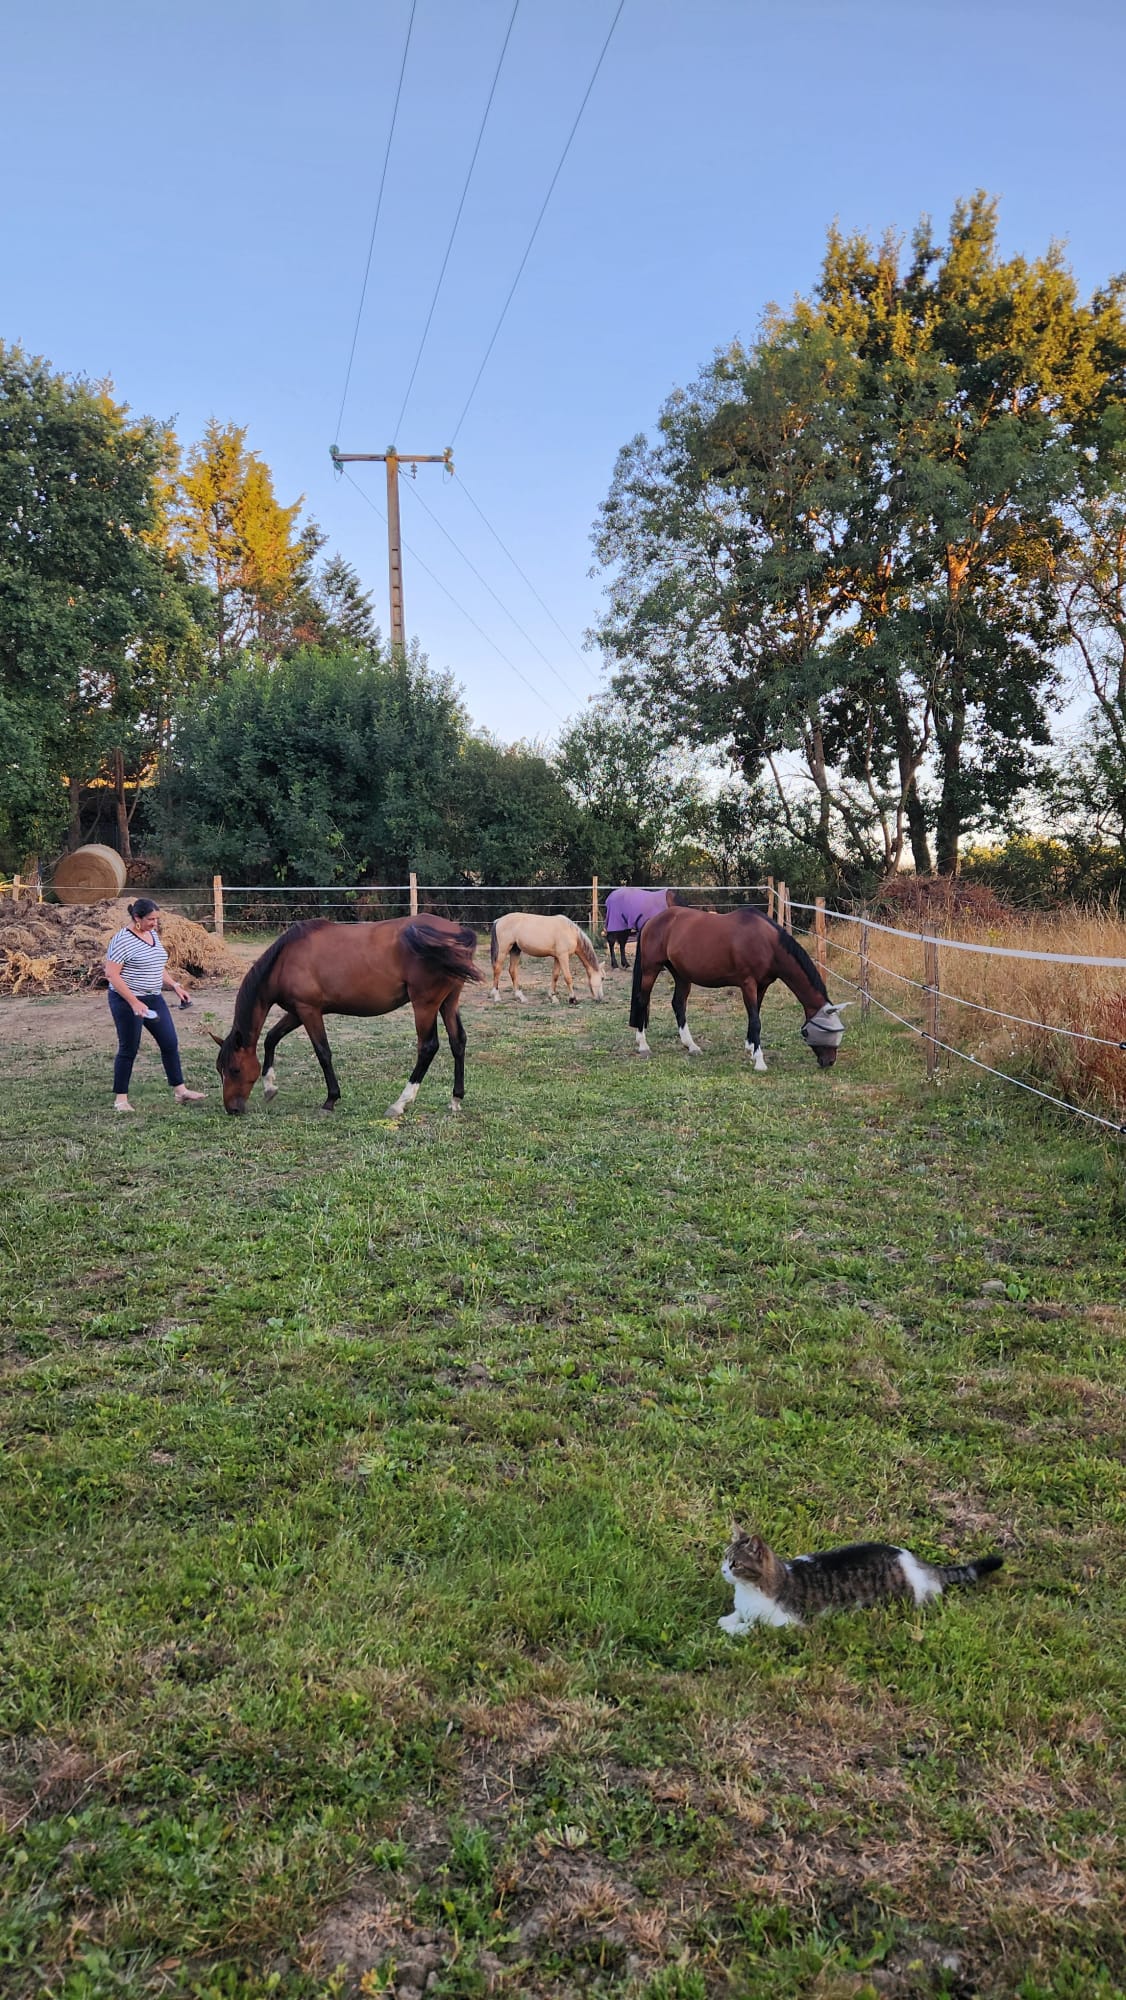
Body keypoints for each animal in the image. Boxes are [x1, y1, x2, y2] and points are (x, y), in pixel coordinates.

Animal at [211, 916, 482, 1117]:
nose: (232, 1109)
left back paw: (400, 1103)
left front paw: (330, 1100)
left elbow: (323, 1053)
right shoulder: (297, 1012)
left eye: (234, 1069)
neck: (285, 960)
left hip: (425, 1004)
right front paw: (269, 1087)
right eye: (220, 1069)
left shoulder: (309, 1011)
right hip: (448, 1002)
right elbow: (271, 1038)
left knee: (428, 1047)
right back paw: (455, 1099)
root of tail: (457, 932)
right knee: (458, 1042)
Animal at [629, 904, 847, 1068]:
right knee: (643, 1000)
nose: (829, 1062)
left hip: (682, 975)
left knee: (678, 1004)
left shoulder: (762, 985)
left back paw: (691, 1046)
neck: (767, 943)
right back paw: (643, 1045)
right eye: (825, 1031)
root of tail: (652, 920)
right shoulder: (748, 984)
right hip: (650, 970)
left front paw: (750, 1048)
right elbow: (756, 1020)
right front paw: (759, 1061)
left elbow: (754, 1016)